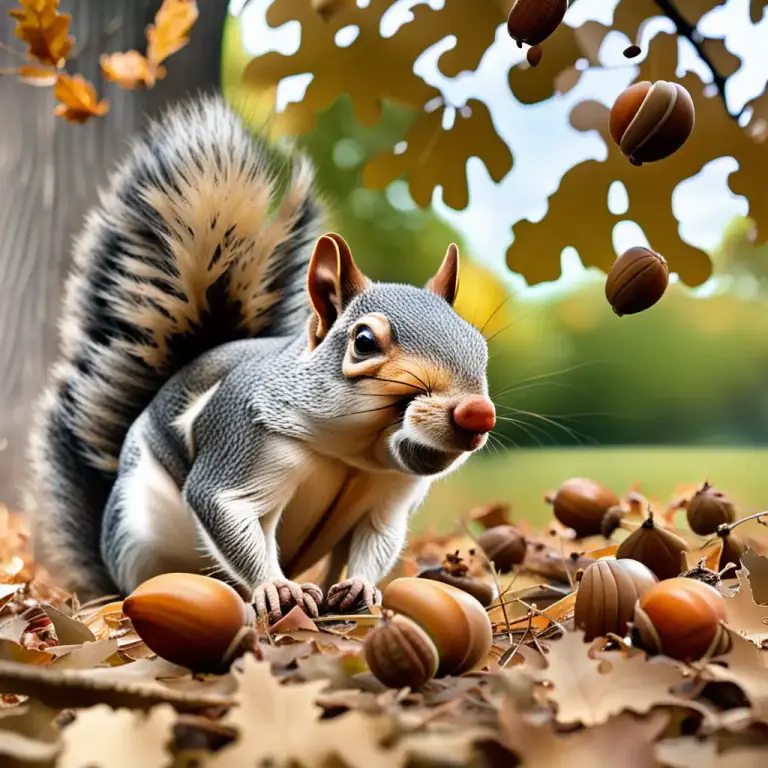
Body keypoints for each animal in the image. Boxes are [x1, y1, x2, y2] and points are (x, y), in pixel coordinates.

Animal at [26, 96, 496, 623]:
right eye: (364, 342)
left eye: (479, 345)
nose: (477, 413)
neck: (353, 453)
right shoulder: (240, 438)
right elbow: (227, 510)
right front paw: (277, 588)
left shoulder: (388, 500)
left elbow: (376, 541)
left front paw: (361, 587)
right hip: (138, 532)